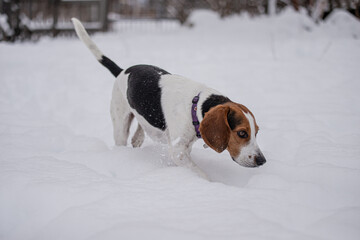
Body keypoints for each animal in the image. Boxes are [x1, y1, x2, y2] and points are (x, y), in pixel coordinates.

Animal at [73, 18, 266, 176]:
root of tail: (122, 71)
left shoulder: (185, 148)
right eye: (242, 133)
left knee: (140, 130)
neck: (195, 106)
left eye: (256, 132)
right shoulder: (178, 152)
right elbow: (201, 174)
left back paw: (138, 138)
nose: (262, 161)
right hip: (120, 123)